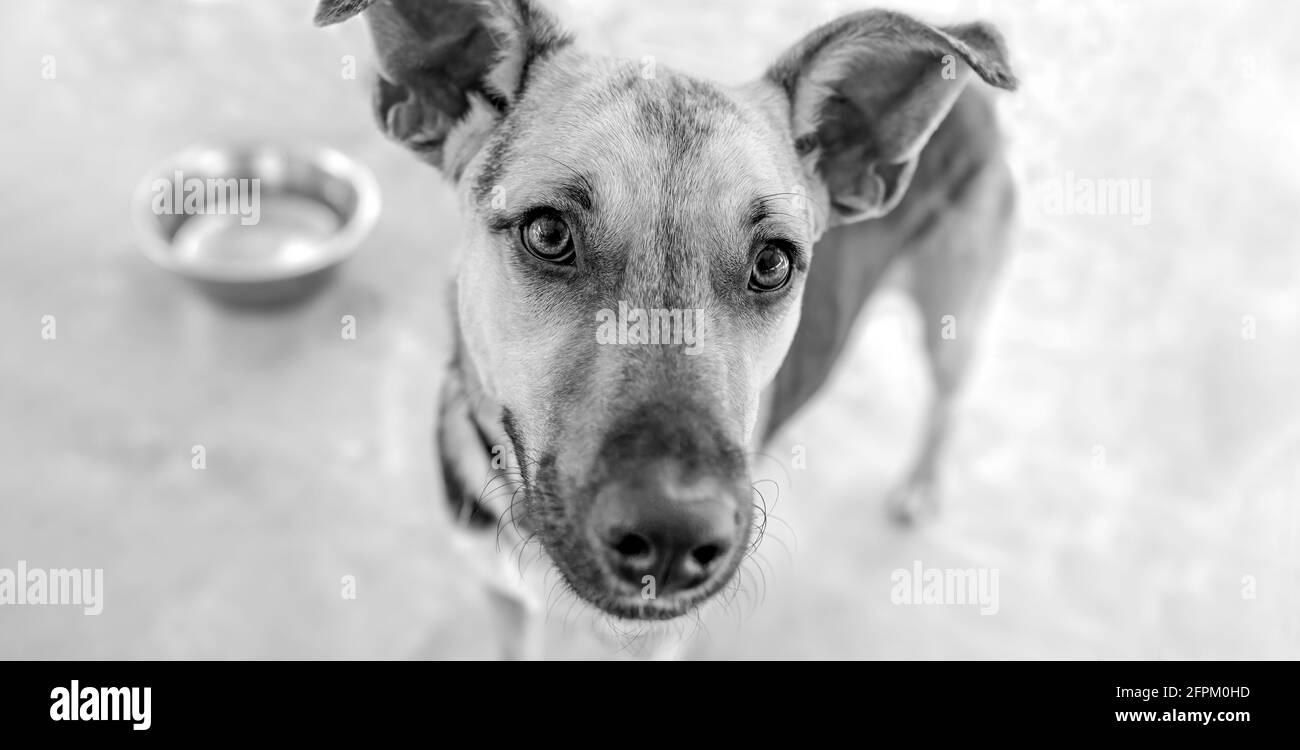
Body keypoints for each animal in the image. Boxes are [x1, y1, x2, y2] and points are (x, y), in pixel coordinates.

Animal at [312, 0, 1013, 655]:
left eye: (772, 263)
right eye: (547, 232)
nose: (677, 537)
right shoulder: (502, 598)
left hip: (953, 323)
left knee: (947, 402)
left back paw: (920, 485)